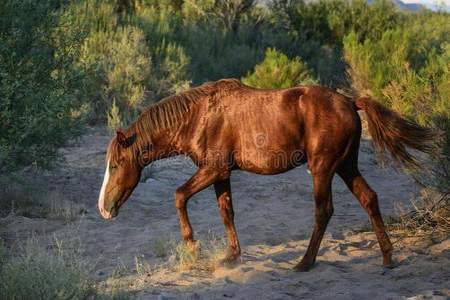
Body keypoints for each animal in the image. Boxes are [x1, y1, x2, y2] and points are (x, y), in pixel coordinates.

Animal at [96, 78, 434, 270]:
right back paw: (387, 258)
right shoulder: (221, 174)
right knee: (369, 199)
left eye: (115, 165)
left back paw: (305, 263)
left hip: (323, 169)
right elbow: (226, 212)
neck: (199, 116)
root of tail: (351, 101)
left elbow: (179, 196)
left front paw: (192, 245)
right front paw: (231, 257)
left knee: (324, 211)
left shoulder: (213, 169)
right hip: (346, 166)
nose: (103, 209)